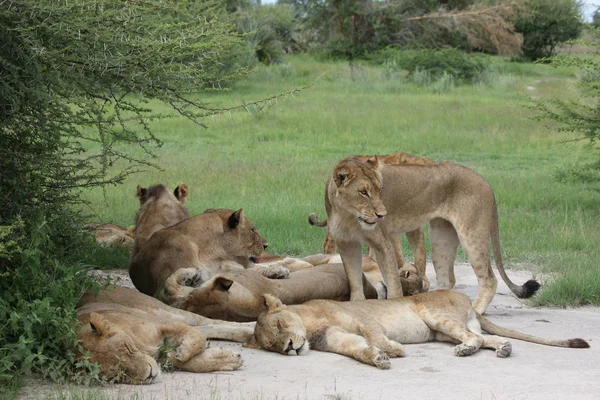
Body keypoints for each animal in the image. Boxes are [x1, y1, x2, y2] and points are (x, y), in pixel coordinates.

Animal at [75, 286, 251, 382]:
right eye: (118, 373)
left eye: (127, 349)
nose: (150, 375)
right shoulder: (161, 355)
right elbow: (196, 363)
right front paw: (230, 359)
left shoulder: (161, 324)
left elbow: (197, 338)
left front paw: (185, 351)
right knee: (207, 326)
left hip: (163, 310)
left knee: (207, 322)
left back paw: (250, 330)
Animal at [314, 155, 540, 314]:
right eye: (363, 192)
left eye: (380, 189)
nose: (382, 215)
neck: (348, 215)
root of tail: (486, 182)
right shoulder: (347, 244)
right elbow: (354, 280)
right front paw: (356, 304)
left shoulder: (382, 242)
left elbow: (393, 283)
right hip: (441, 237)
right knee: (447, 279)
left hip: (471, 235)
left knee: (489, 279)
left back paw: (476, 310)